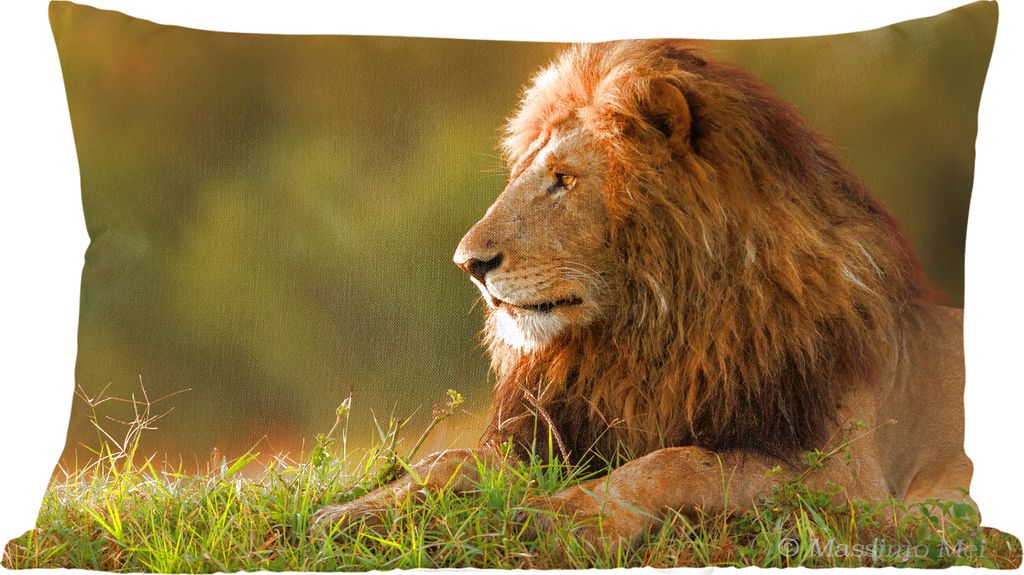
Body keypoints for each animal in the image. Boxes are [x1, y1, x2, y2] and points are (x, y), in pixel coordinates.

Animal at [314, 40, 973, 548]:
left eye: (564, 179)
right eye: (526, 173)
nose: (468, 264)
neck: (651, 335)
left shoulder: (852, 484)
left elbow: (683, 462)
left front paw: (566, 518)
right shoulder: (567, 432)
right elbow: (448, 461)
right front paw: (347, 515)